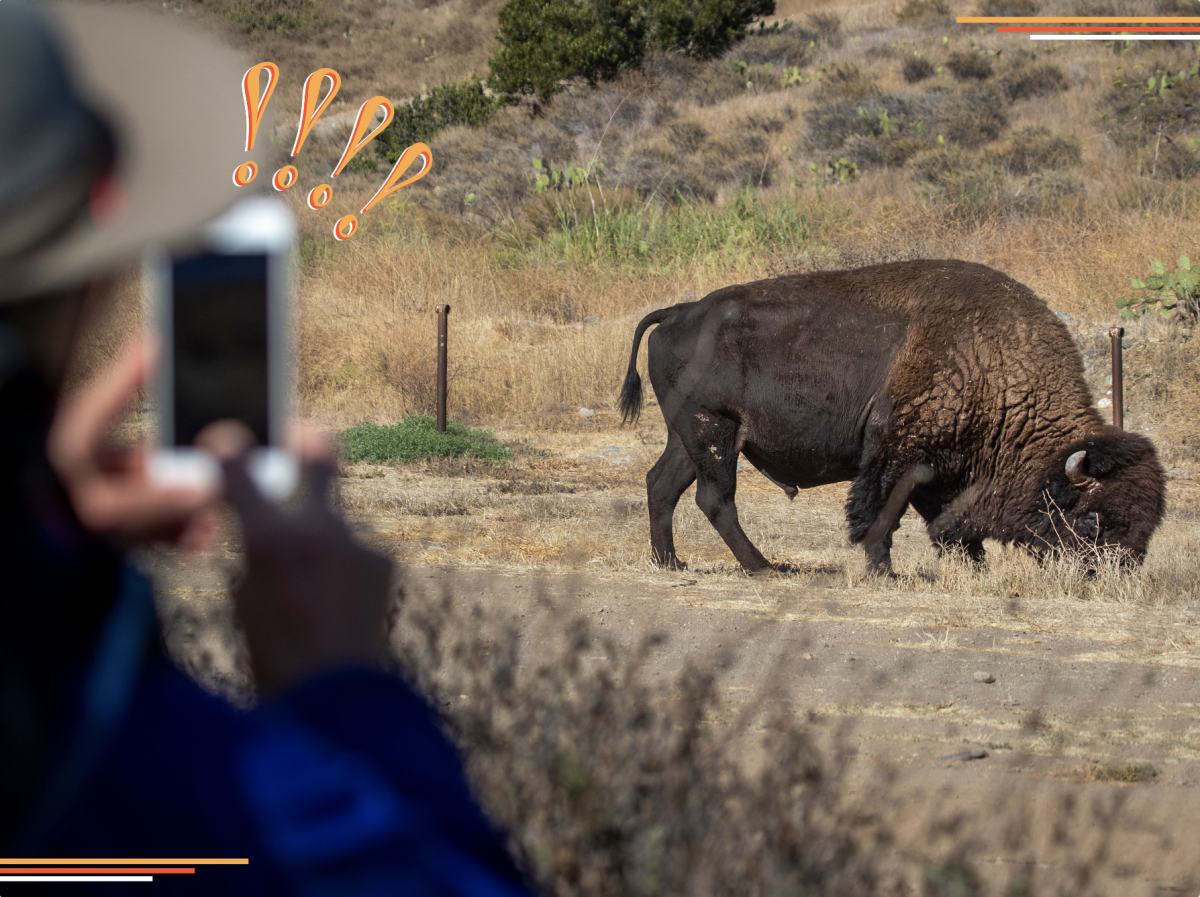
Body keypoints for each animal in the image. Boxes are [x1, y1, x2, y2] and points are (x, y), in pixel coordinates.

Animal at [624, 259, 1166, 575]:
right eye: (1093, 520)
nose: (1114, 574)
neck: (990, 359)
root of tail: (678, 312)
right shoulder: (898, 452)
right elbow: (883, 512)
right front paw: (883, 569)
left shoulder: (939, 464)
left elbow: (944, 519)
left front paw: (974, 567)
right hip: (713, 432)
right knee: (715, 498)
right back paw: (763, 567)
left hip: (691, 438)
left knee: (661, 484)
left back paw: (671, 562)